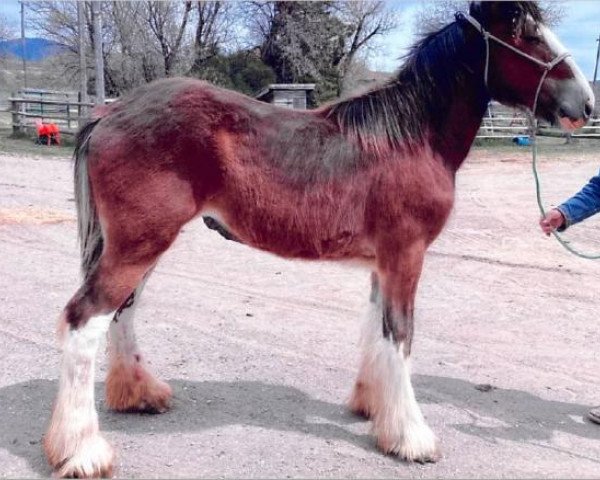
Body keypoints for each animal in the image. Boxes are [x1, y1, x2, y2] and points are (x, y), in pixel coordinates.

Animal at [44, 2, 592, 476]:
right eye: (526, 34)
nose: (585, 103)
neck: (410, 137)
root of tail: (109, 111)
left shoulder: (383, 262)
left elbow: (375, 330)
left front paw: (373, 408)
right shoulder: (406, 256)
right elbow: (401, 335)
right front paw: (412, 437)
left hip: (139, 245)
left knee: (123, 311)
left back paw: (140, 395)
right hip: (137, 245)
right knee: (85, 321)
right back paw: (83, 451)